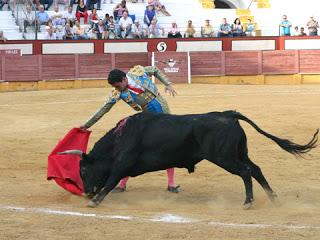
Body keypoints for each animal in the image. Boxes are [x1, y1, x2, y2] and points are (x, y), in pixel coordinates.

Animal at [60, 110, 318, 208]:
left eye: (83, 170)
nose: (86, 192)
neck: (120, 137)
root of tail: (228, 114)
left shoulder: (122, 163)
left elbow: (110, 180)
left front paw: (96, 201)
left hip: (224, 157)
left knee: (246, 172)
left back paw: (248, 202)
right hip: (239, 152)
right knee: (255, 169)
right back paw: (273, 198)